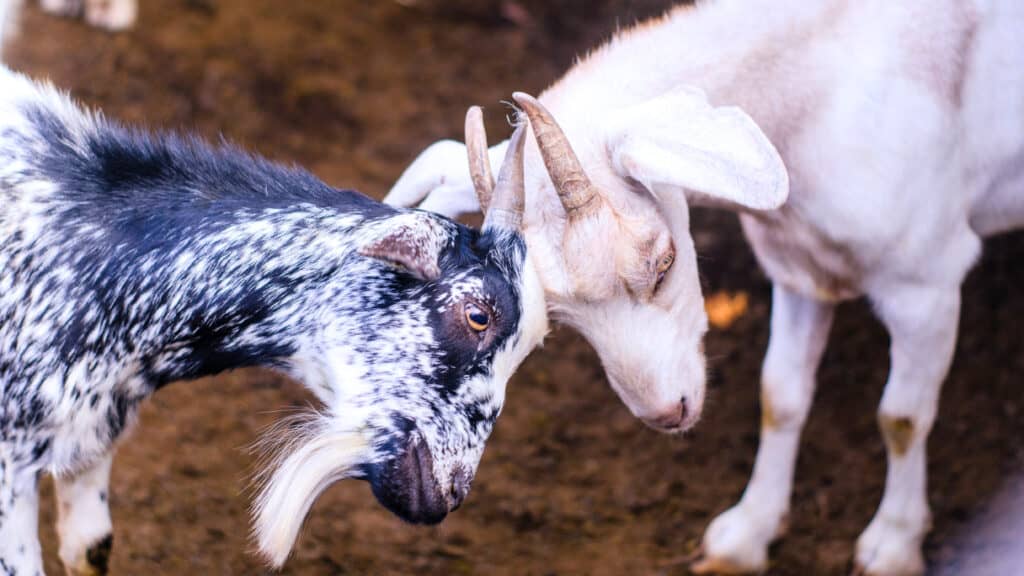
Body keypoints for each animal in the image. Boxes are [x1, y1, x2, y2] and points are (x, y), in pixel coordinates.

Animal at [385, 0, 1024, 573]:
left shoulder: (927, 281)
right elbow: (780, 396)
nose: (668, 413)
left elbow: (902, 418)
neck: (820, 92)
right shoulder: (799, 269)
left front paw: (892, 546)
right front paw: (747, 536)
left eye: (665, 262)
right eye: (559, 320)